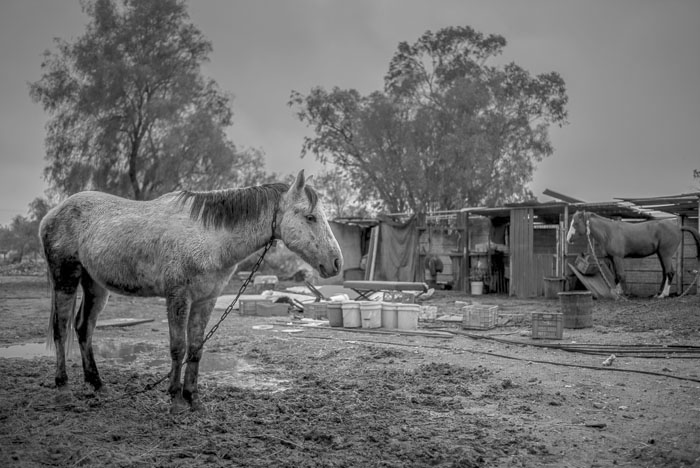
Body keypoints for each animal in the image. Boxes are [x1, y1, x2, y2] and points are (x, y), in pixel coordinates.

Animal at [40, 170, 342, 412]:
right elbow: (178, 347)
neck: (209, 236)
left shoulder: (205, 300)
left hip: (96, 287)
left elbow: (196, 348)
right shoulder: (178, 298)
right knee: (61, 329)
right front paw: (175, 400)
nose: (336, 262)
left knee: (84, 329)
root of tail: (52, 214)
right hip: (66, 280)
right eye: (310, 217)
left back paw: (97, 385)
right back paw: (63, 389)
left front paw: (193, 399)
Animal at [568, 211, 696, 298]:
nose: (568, 239)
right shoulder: (612, 259)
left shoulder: (618, 258)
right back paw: (658, 294)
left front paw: (624, 294)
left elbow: (621, 275)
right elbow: (616, 276)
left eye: (576, 223)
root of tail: (678, 227)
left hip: (666, 254)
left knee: (670, 272)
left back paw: (663, 295)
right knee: (665, 272)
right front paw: (617, 293)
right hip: (661, 254)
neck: (608, 232)